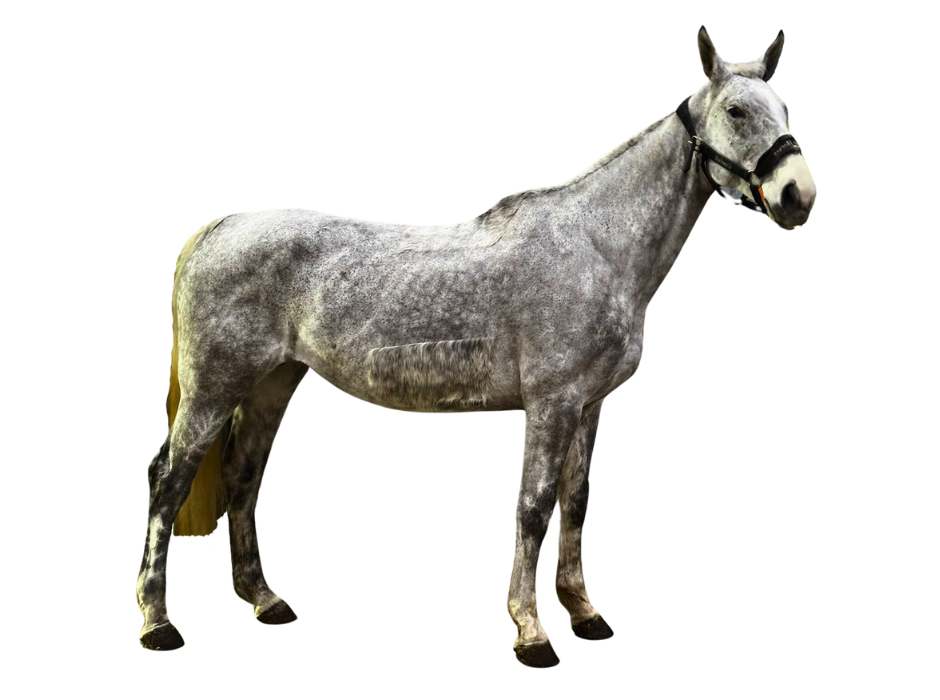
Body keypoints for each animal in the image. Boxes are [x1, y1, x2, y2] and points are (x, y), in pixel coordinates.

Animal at [136, 26, 817, 668]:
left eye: (782, 108)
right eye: (736, 111)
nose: (797, 195)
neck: (596, 244)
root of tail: (218, 228)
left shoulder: (589, 405)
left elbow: (576, 503)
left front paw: (585, 612)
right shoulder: (551, 403)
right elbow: (535, 507)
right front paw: (532, 630)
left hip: (272, 383)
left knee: (243, 477)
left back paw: (266, 602)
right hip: (215, 388)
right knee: (169, 480)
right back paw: (158, 624)